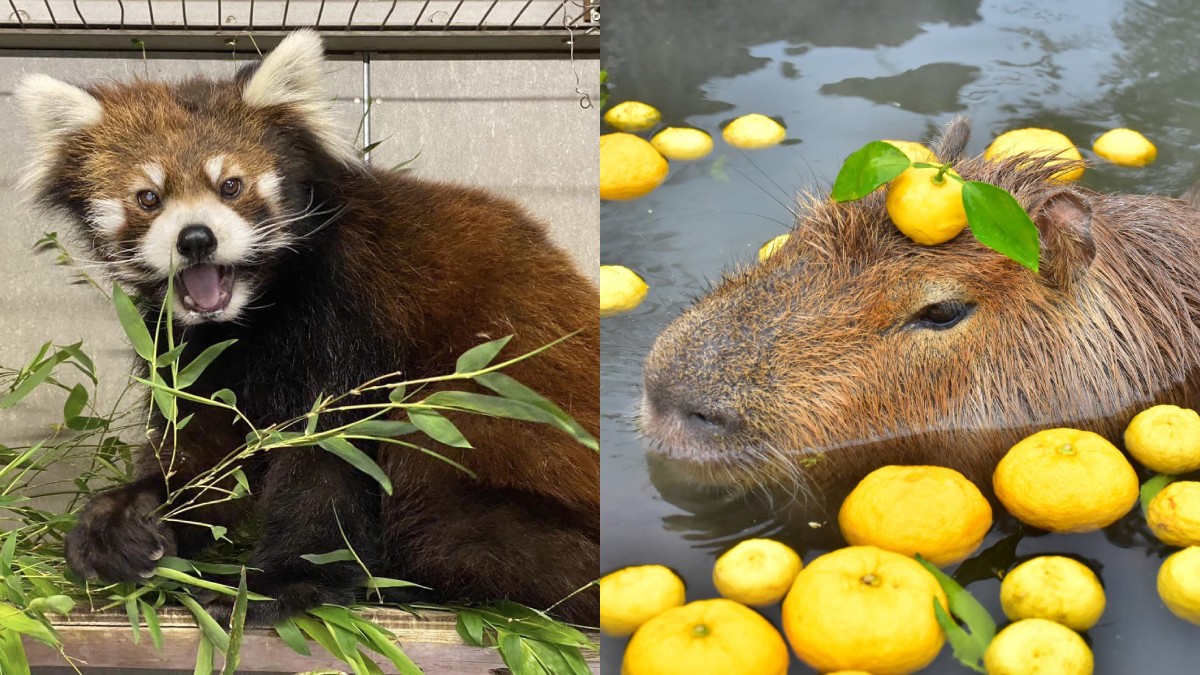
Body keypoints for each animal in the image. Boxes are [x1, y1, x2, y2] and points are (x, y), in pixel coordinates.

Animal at [16, 30, 597, 619]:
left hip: (485, 423)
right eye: (149, 198)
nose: (196, 238)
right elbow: (207, 453)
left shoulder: (346, 321)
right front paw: (129, 517)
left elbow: (327, 460)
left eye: (231, 186)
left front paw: (280, 582)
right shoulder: (192, 357)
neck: (252, 314)